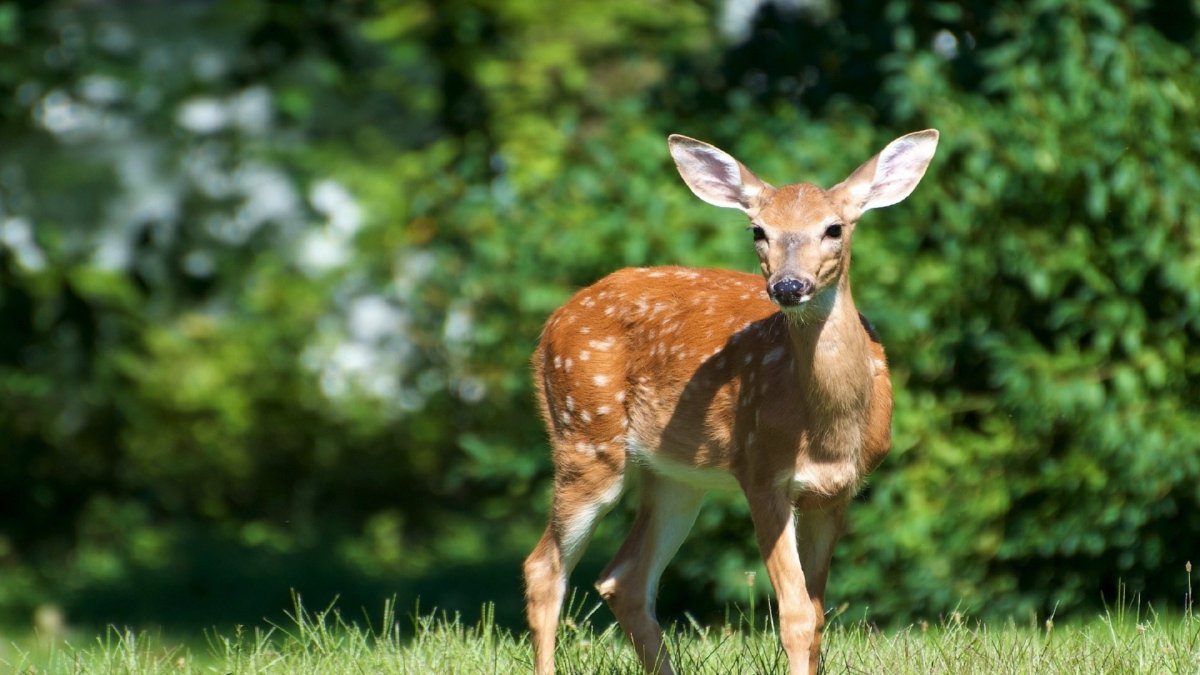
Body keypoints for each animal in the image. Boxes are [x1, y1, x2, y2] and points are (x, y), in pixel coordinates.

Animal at [523, 129, 939, 675]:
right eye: (757, 231)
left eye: (834, 228)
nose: (788, 286)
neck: (826, 431)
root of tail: (550, 324)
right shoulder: (760, 471)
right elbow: (796, 615)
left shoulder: (837, 491)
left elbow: (818, 615)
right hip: (585, 437)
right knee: (544, 567)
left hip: (677, 476)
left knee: (624, 578)